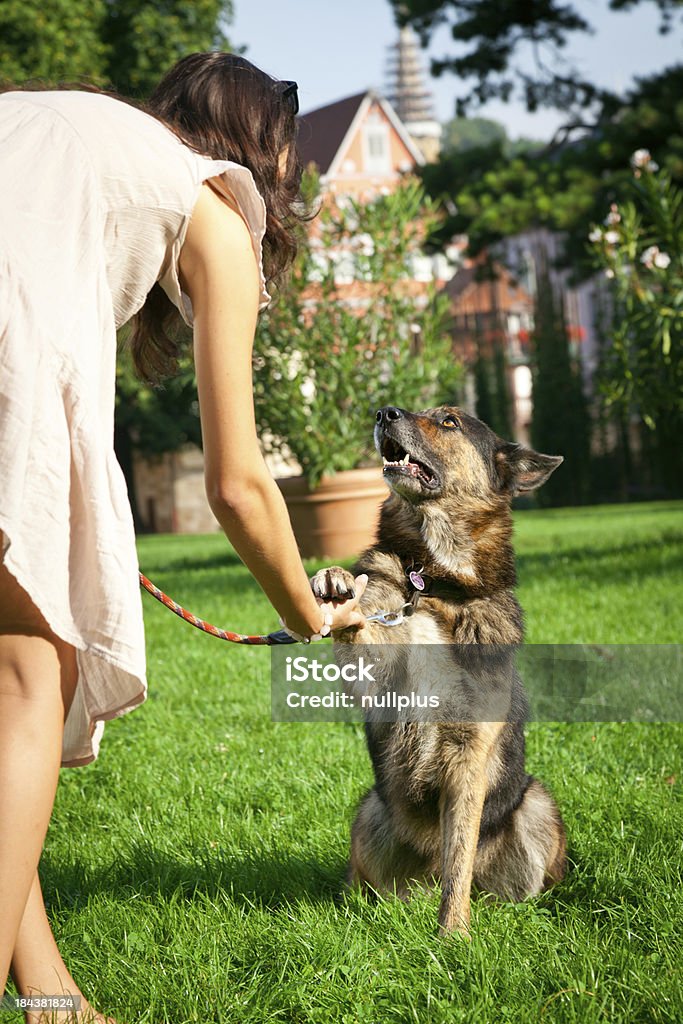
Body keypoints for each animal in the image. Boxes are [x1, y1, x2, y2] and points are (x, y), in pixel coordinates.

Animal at [313, 405, 569, 937]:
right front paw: (337, 586)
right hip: (370, 813)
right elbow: (361, 636)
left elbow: (458, 861)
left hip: (536, 804)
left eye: (449, 421)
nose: (384, 411)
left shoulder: (469, 757)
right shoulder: (375, 679)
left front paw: (453, 936)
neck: (433, 583)